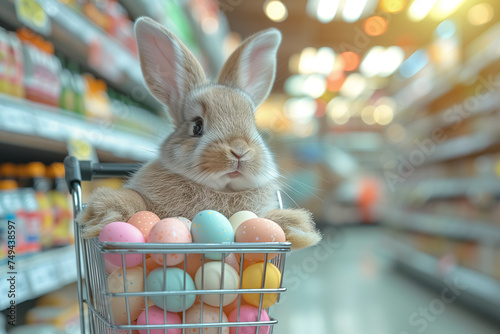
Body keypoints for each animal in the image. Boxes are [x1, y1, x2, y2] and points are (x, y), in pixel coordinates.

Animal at [78, 17, 320, 249]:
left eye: (254, 125)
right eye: (197, 126)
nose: (239, 151)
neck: (221, 190)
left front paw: (295, 227)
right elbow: (135, 201)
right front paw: (104, 213)